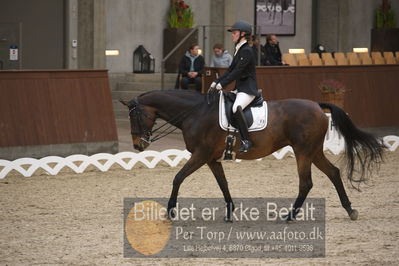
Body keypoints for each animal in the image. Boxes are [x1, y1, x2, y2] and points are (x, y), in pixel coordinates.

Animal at [120, 90, 386, 221]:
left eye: (135, 116)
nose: (138, 145)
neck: (195, 112)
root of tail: (317, 105)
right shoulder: (211, 159)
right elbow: (223, 184)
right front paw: (230, 212)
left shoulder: (201, 155)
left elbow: (177, 178)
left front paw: (171, 211)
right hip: (313, 151)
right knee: (333, 173)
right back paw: (349, 210)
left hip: (303, 151)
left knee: (306, 183)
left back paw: (289, 216)